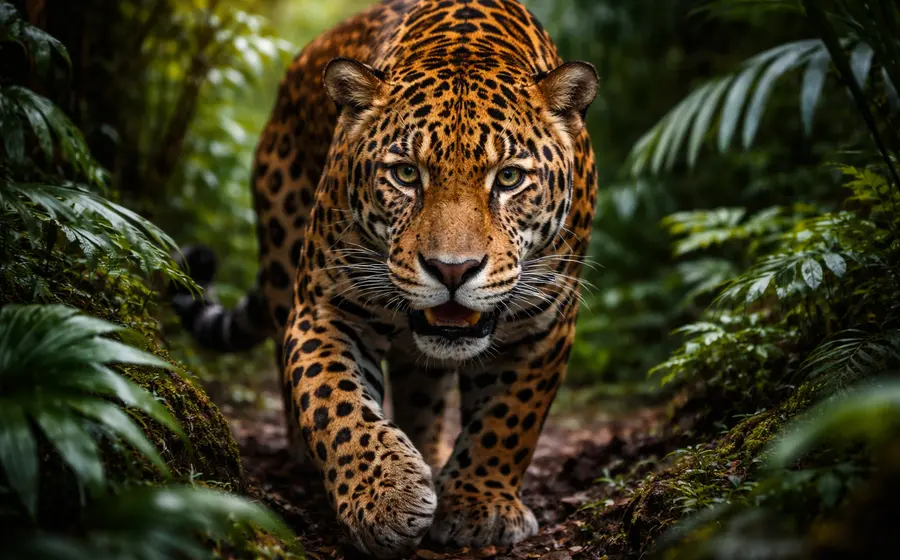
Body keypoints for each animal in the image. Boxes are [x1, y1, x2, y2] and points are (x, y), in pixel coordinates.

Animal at [170, 0, 598, 557]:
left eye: (508, 177)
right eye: (406, 174)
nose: (453, 269)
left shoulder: (544, 327)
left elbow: (508, 421)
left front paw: (478, 504)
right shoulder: (323, 309)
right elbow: (336, 405)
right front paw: (385, 498)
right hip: (282, 257)